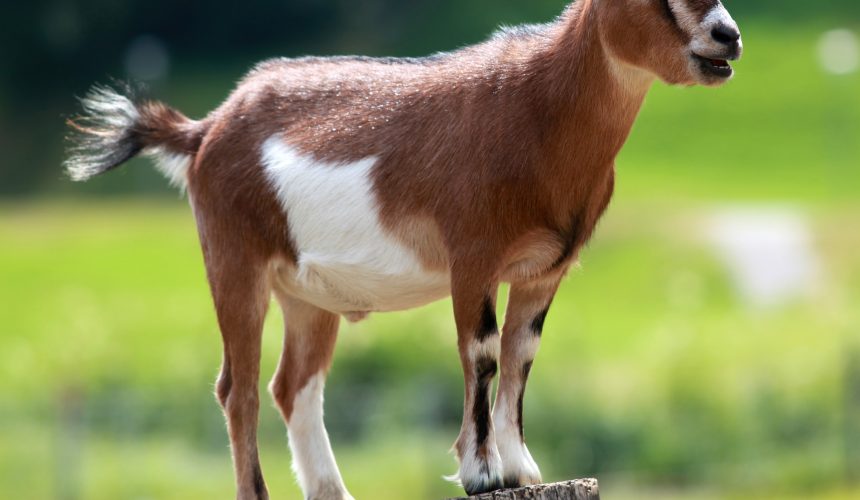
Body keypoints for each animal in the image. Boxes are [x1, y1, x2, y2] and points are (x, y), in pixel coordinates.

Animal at [65, 0, 743, 498]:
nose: (727, 36)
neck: (538, 112)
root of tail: (204, 130)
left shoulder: (544, 270)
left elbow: (522, 355)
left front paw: (521, 467)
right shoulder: (473, 256)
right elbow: (483, 353)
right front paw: (481, 472)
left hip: (306, 295)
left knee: (292, 384)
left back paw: (334, 494)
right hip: (234, 259)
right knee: (241, 388)